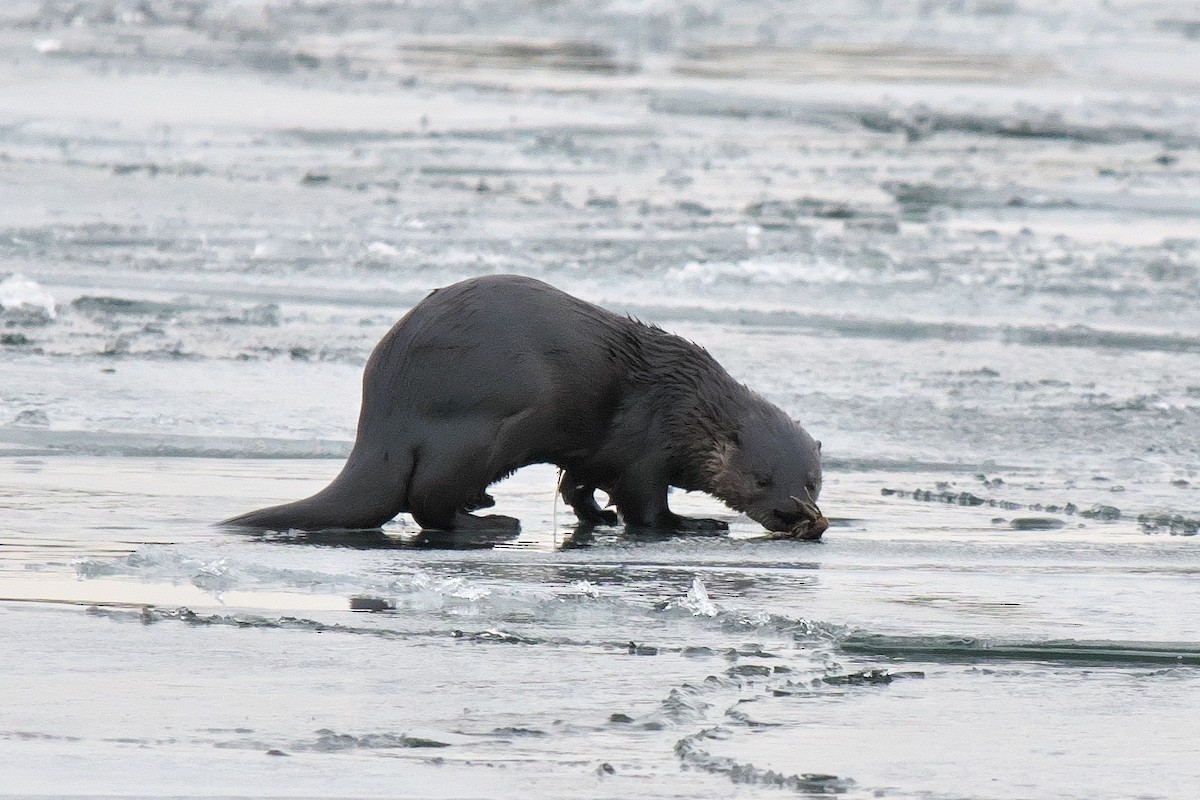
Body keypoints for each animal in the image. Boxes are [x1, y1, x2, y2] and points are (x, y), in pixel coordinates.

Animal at [223, 275, 828, 539]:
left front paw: (595, 515)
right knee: (426, 501)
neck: (681, 403)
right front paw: (693, 523)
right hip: (481, 432)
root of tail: (382, 418)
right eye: (760, 479)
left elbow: (578, 487)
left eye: (811, 482)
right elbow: (646, 505)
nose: (794, 514)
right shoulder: (646, 449)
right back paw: (491, 521)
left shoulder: (592, 453)